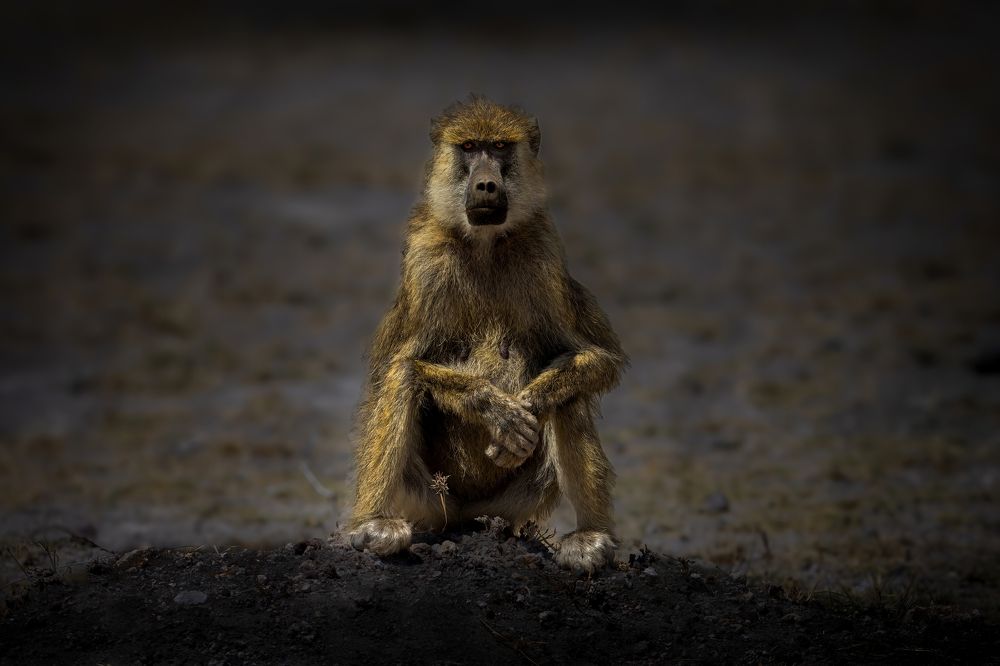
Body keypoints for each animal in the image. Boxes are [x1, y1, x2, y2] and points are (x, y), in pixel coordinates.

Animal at [347, 96, 627, 573]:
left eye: (499, 147)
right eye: (469, 147)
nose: (486, 186)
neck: (484, 245)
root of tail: (466, 518)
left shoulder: (545, 255)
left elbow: (599, 358)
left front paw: (528, 407)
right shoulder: (424, 261)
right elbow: (394, 366)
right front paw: (495, 409)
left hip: (514, 503)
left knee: (570, 390)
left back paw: (591, 537)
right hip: (428, 498)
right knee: (403, 378)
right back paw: (372, 525)